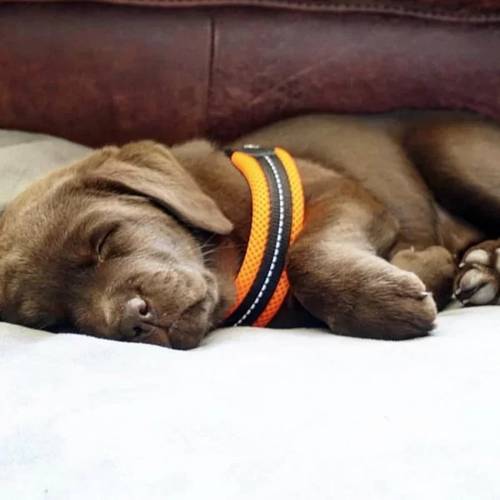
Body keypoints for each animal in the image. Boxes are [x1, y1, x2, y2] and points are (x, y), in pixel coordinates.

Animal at [0, 111, 499, 349]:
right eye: (57, 322)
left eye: (104, 240)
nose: (133, 319)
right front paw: (425, 270)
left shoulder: (344, 193)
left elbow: (305, 253)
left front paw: (384, 301)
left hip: (455, 155)